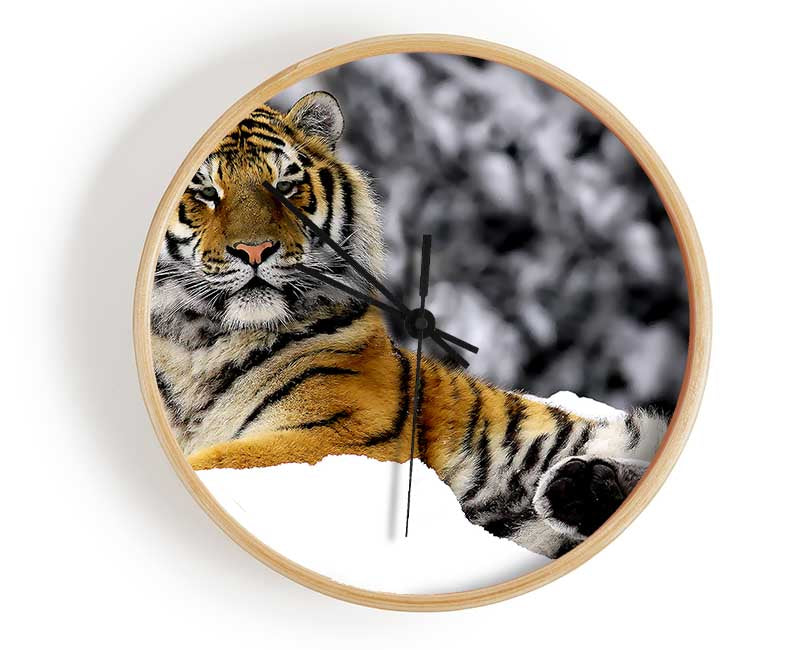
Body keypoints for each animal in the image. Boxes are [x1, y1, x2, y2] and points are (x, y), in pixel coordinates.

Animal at [151, 91, 668, 558]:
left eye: (284, 187)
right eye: (205, 193)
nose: (254, 250)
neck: (198, 342)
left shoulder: (339, 431)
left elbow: (219, 461)